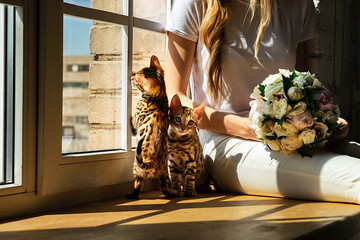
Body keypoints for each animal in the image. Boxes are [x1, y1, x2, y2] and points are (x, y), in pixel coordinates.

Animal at [127, 54, 171, 199]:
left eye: (136, 81)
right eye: (137, 72)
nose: (131, 77)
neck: (160, 95)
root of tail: (155, 162)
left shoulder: (136, 121)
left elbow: (132, 121)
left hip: (136, 167)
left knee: (138, 184)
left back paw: (132, 195)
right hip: (165, 173)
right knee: (165, 187)